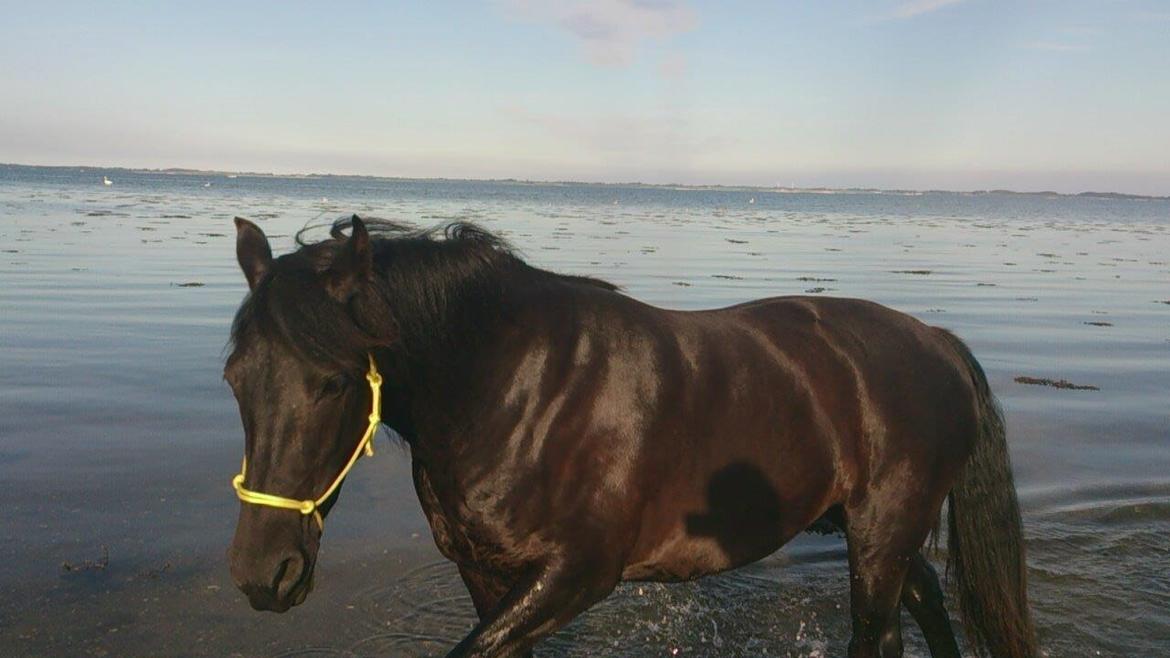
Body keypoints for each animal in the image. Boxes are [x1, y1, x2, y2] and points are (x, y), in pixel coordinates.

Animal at [225, 216, 1034, 655]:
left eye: (334, 382)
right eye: (235, 376)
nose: (264, 575)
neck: (510, 387)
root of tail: (935, 342)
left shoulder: (579, 574)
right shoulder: (485, 576)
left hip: (880, 534)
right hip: (865, 528)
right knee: (924, 604)